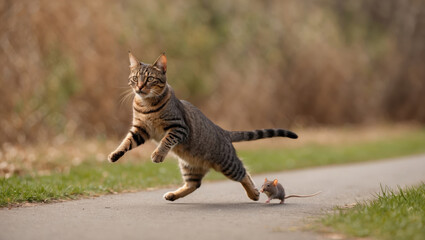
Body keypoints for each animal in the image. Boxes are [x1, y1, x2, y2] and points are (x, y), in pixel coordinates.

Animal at [107, 52, 296, 201]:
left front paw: (158, 155)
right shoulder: (140, 129)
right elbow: (126, 142)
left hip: (227, 163)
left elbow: (165, 141)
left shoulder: (178, 128)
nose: (139, 87)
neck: (146, 105)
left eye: (149, 79)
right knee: (194, 184)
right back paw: (173, 195)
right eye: (134, 78)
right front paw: (114, 154)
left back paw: (254, 194)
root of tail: (221, 130)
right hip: (189, 166)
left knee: (244, 172)